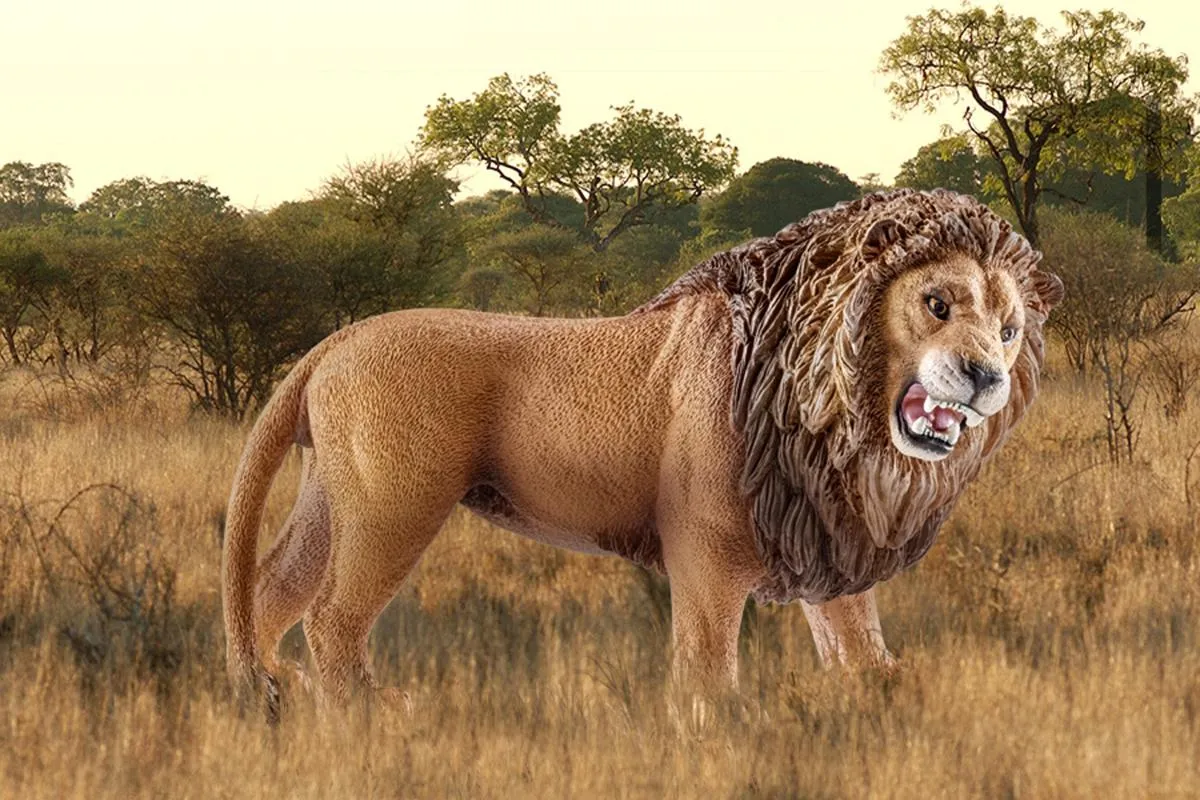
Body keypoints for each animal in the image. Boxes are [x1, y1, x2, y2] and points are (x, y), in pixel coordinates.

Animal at [222, 189, 1063, 719]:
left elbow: (853, 631)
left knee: (272, 587)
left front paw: (880, 690)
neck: (842, 426)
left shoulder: (823, 532)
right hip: (396, 507)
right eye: (937, 304)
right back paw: (364, 711)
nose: (987, 376)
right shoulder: (708, 548)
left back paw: (276, 690)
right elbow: (706, 657)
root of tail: (334, 341)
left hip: (333, 497)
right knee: (330, 613)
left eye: (1010, 330)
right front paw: (716, 725)